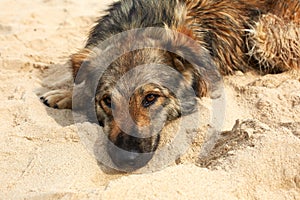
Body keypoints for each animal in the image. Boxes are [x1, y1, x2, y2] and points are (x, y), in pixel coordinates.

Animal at [40, 0, 300, 172]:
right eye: (107, 101)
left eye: (150, 98)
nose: (126, 160)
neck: (139, 23)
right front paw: (64, 94)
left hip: (261, 32)